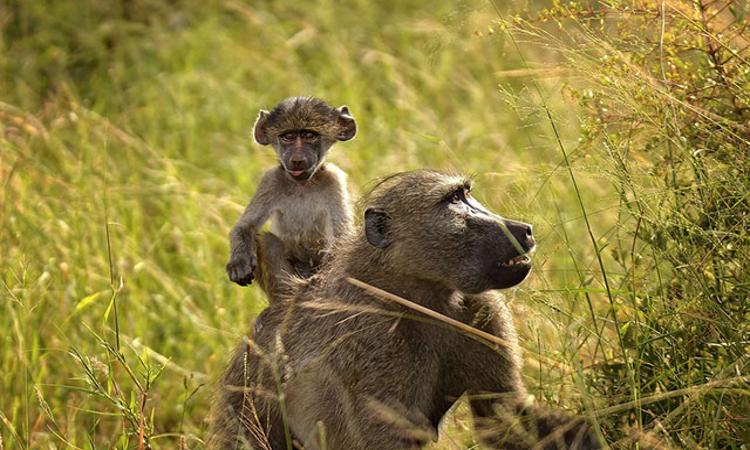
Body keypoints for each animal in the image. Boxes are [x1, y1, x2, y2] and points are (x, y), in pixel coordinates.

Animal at [210, 171, 601, 450]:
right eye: (454, 200)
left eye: (466, 194)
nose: (524, 229)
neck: (418, 295)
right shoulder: (373, 342)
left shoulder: (481, 309)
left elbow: (504, 418)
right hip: (242, 401)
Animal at [226, 97, 356, 300]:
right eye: (288, 137)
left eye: (309, 135)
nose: (297, 160)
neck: (302, 185)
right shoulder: (271, 180)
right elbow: (245, 226)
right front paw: (238, 263)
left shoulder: (334, 179)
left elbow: (342, 236)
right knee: (267, 241)